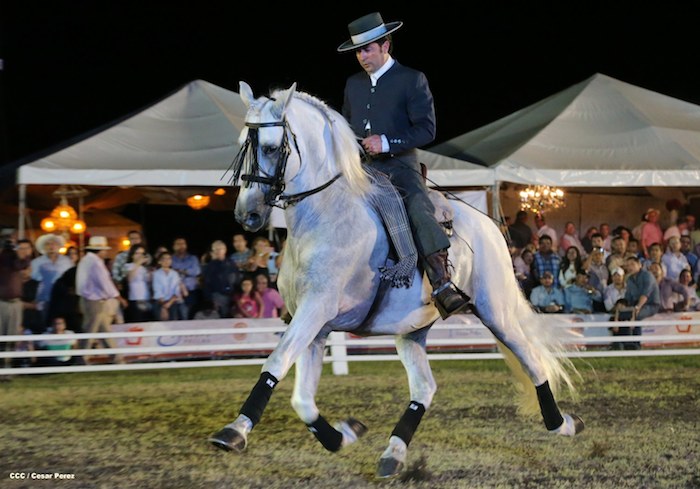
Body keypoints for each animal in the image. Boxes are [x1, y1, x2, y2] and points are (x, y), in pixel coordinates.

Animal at [209, 81, 584, 478]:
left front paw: (233, 432)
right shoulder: (315, 325)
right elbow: (303, 400)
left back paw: (562, 424)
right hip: (411, 332)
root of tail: (489, 225)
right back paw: (394, 453)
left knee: (533, 361)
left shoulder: (316, 310)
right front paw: (344, 434)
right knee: (424, 389)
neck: (326, 217)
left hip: (496, 313)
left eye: (269, 147)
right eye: (241, 144)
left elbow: (276, 362)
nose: (247, 215)